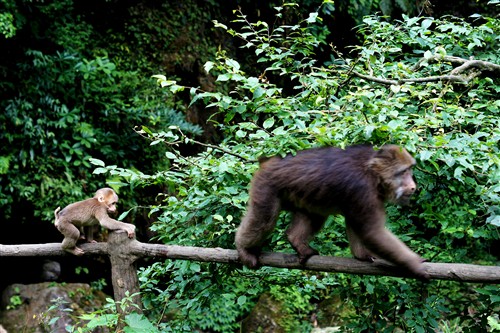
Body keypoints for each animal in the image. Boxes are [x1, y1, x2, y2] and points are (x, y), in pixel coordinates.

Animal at [236, 144, 428, 278]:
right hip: (266, 186)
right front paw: (415, 264)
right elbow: (373, 232)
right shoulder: (362, 189)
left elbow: (356, 222)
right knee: (264, 220)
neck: (372, 173)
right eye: (403, 172)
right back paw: (243, 248)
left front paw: (362, 255)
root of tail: (269, 160)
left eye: (410, 170)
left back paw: (296, 240)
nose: (413, 186)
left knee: (315, 215)